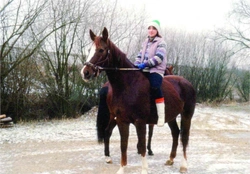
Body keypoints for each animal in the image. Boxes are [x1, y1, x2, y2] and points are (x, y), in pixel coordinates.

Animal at [81, 27, 196, 174]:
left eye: (101, 50)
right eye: (89, 50)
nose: (85, 72)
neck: (128, 85)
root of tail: (187, 83)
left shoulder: (140, 122)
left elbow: (142, 145)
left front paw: (144, 169)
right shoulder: (122, 121)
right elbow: (123, 145)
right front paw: (122, 169)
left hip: (187, 115)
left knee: (184, 137)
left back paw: (183, 166)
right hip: (171, 116)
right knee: (175, 133)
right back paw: (170, 159)